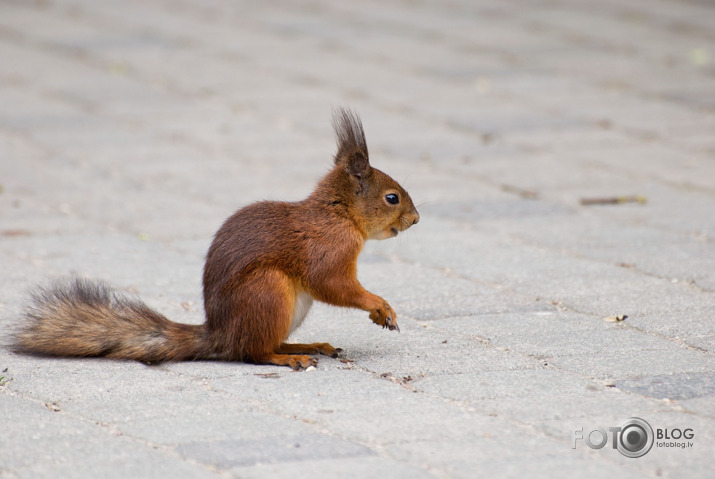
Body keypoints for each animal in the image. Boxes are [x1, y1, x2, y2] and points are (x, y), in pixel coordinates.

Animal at [12, 109, 420, 372]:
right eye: (392, 198)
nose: (416, 219)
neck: (339, 214)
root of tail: (220, 334)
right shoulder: (328, 249)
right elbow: (332, 284)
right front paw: (380, 305)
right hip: (268, 292)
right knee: (254, 352)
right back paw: (291, 357)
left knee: (260, 345)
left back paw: (310, 345)